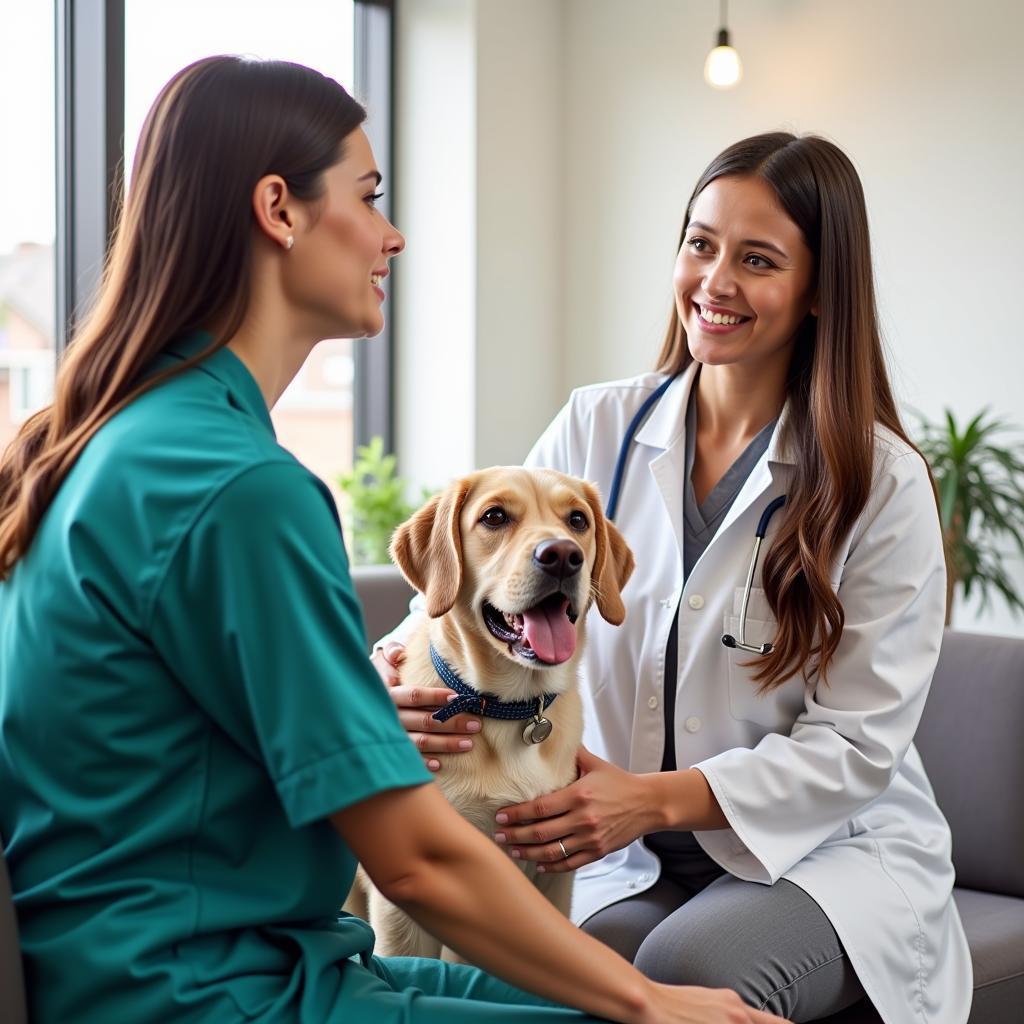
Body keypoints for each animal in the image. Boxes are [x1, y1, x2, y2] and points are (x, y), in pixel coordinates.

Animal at [356, 464, 634, 958]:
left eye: (577, 521)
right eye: (494, 517)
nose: (562, 555)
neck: (512, 710)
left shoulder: (552, 878)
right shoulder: (407, 900)